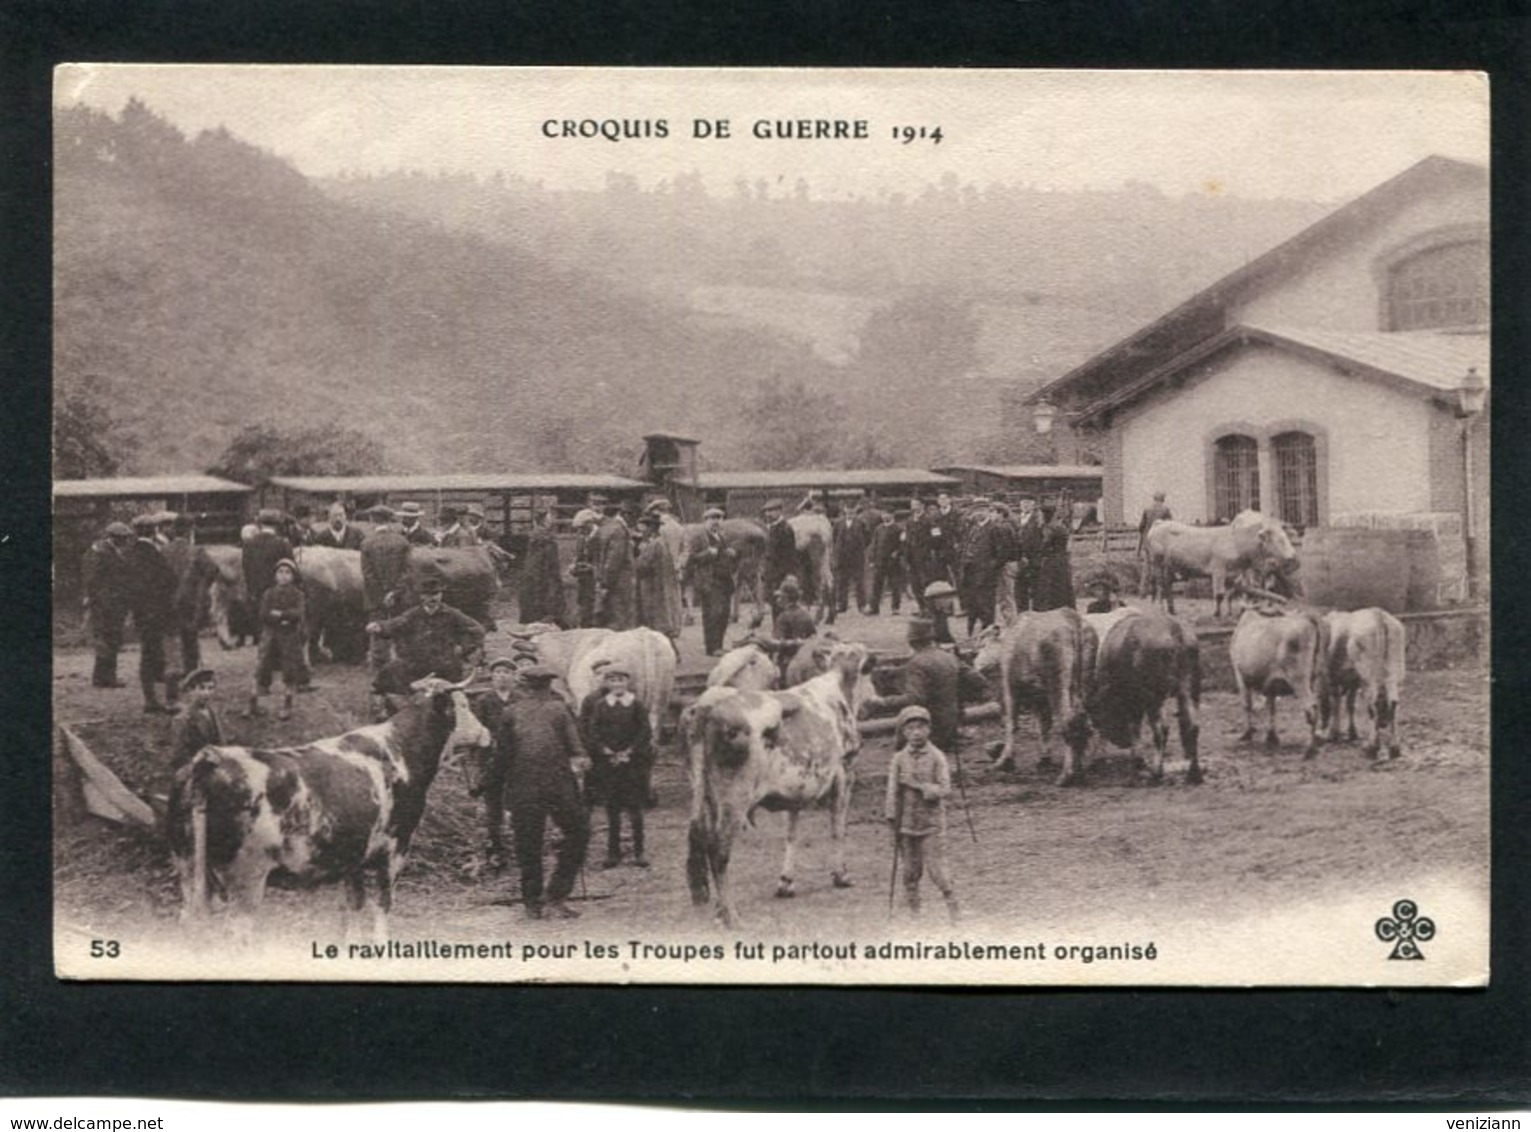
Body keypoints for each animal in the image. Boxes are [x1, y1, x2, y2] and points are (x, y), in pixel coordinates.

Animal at [167, 677, 489, 943]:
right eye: (463, 705)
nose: (486, 733)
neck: (400, 750)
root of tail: (212, 758)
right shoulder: (396, 847)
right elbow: (383, 903)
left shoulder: (355, 854)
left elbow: (355, 902)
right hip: (246, 877)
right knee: (236, 935)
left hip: (189, 868)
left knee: (188, 921)